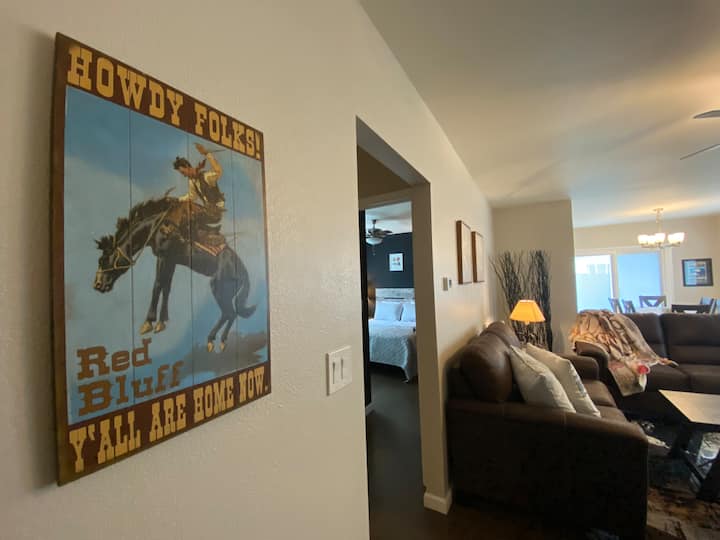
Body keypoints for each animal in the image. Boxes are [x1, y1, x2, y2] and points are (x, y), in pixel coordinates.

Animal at [92, 195, 256, 352]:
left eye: (103, 260)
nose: (97, 285)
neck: (156, 227)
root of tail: (244, 272)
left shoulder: (163, 257)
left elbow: (157, 285)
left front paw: (149, 322)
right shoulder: (171, 261)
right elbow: (166, 287)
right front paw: (161, 321)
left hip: (219, 289)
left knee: (229, 313)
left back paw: (213, 340)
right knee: (230, 314)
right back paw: (219, 341)